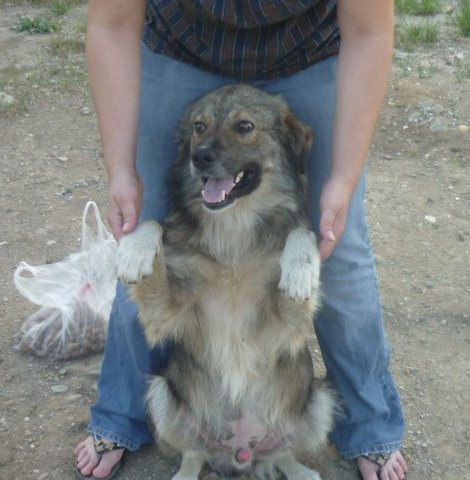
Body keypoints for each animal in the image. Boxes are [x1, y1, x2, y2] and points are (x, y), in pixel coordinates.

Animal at [117, 84, 334, 478]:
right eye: (199, 126)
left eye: (244, 126)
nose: (199, 157)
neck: (233, 233)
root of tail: (241, 452)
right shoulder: (167, 311)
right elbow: (154, 224)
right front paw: (134, 249)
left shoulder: (285, 324)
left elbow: (302, 231)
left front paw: (300, 267)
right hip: (162, 394)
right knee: (194, 453)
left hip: (318, 401)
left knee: (284, 453)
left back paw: (303, 472)